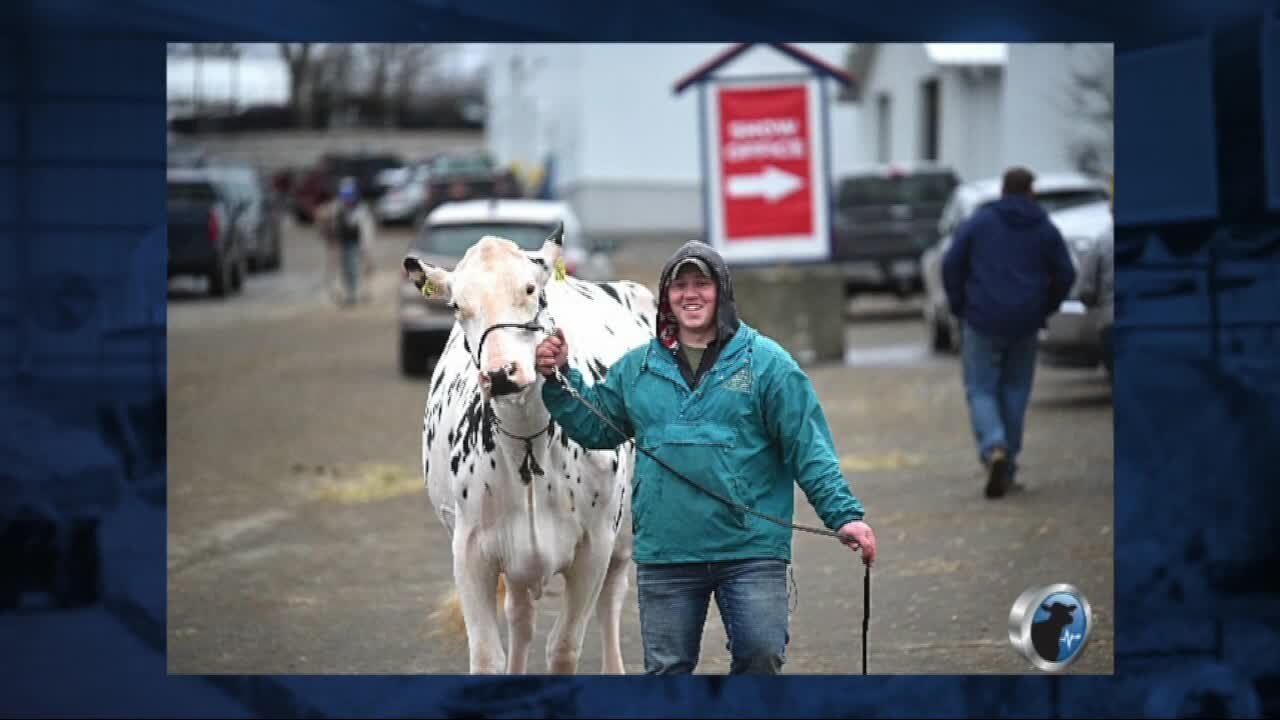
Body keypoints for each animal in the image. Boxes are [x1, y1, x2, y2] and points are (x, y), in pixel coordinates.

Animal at [404, 225, 655, 671]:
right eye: (456, 305)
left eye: (530, 290)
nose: (501, 374)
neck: (528, 444)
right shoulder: (470, 551)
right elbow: (488, 655)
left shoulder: (594, 547)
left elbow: (564, 647)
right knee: (521, 618)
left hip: (623, 537)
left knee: (611, 603)